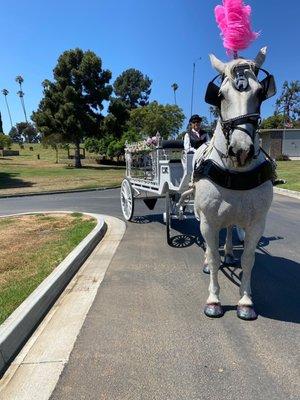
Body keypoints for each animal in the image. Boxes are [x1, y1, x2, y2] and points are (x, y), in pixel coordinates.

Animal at [195, 47, 276, 320]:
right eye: (220, 95)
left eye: (260, 93)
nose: (241, 150)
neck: (235, 171)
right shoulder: (208, 221)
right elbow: (213, 256)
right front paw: (213, 299)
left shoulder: (257, 223)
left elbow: (249, 260)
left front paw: (246, 301)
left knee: (230, 229)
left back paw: (230, 252)